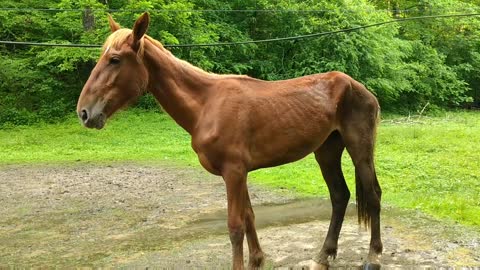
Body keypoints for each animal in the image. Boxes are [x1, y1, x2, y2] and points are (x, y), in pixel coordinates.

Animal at [75, 12, 382, 270]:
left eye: (115, 59)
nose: (85, 112)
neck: (206, 105)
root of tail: (357, 86)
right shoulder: (240, 172)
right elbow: (249, 217)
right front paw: (257, 260)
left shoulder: (233, 172)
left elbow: (235, 226)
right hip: (327, 151)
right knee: (339, 196)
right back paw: (323, 256)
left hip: (359, 149)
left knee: (373, 195)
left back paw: (373, 257)